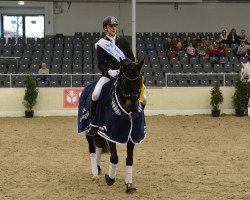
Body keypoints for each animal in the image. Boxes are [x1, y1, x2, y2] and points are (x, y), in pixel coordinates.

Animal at [77, 58, 146, 194]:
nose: (133, 106)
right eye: (124, 81)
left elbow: (129, 159)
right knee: (91, 148)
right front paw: (110, 178)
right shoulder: (111, 133)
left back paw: (98, 168)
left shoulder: (132, 135)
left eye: (139, 81)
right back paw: (95, 173)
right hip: (89, 129)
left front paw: (129, 185)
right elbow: (114, 158)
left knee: (98, 145)